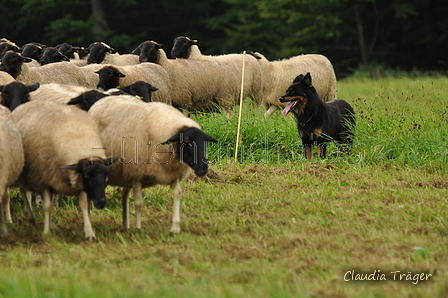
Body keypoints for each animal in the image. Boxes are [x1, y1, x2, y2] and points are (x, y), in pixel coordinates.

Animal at [12, 100, 117, 240]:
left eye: (106, 175)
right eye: (87, 176)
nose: (101, 203)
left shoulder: (79, 182)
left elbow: (84, 205)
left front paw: (89, 233)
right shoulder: (45, 179)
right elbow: (47, 207)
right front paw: (46, 233)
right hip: (24, 173)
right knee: (24, 192)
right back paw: (31, 217)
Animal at [87, 96, 217, 234]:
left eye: (205, 143)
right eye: (187, 142)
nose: (203, 168)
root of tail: (102, 100)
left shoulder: (173, 175)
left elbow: (177, 194)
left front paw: (175, 227)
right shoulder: (136, 175)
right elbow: (139, 203)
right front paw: (138, 228)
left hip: (124, 175)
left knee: (124, 196)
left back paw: (125, 225)